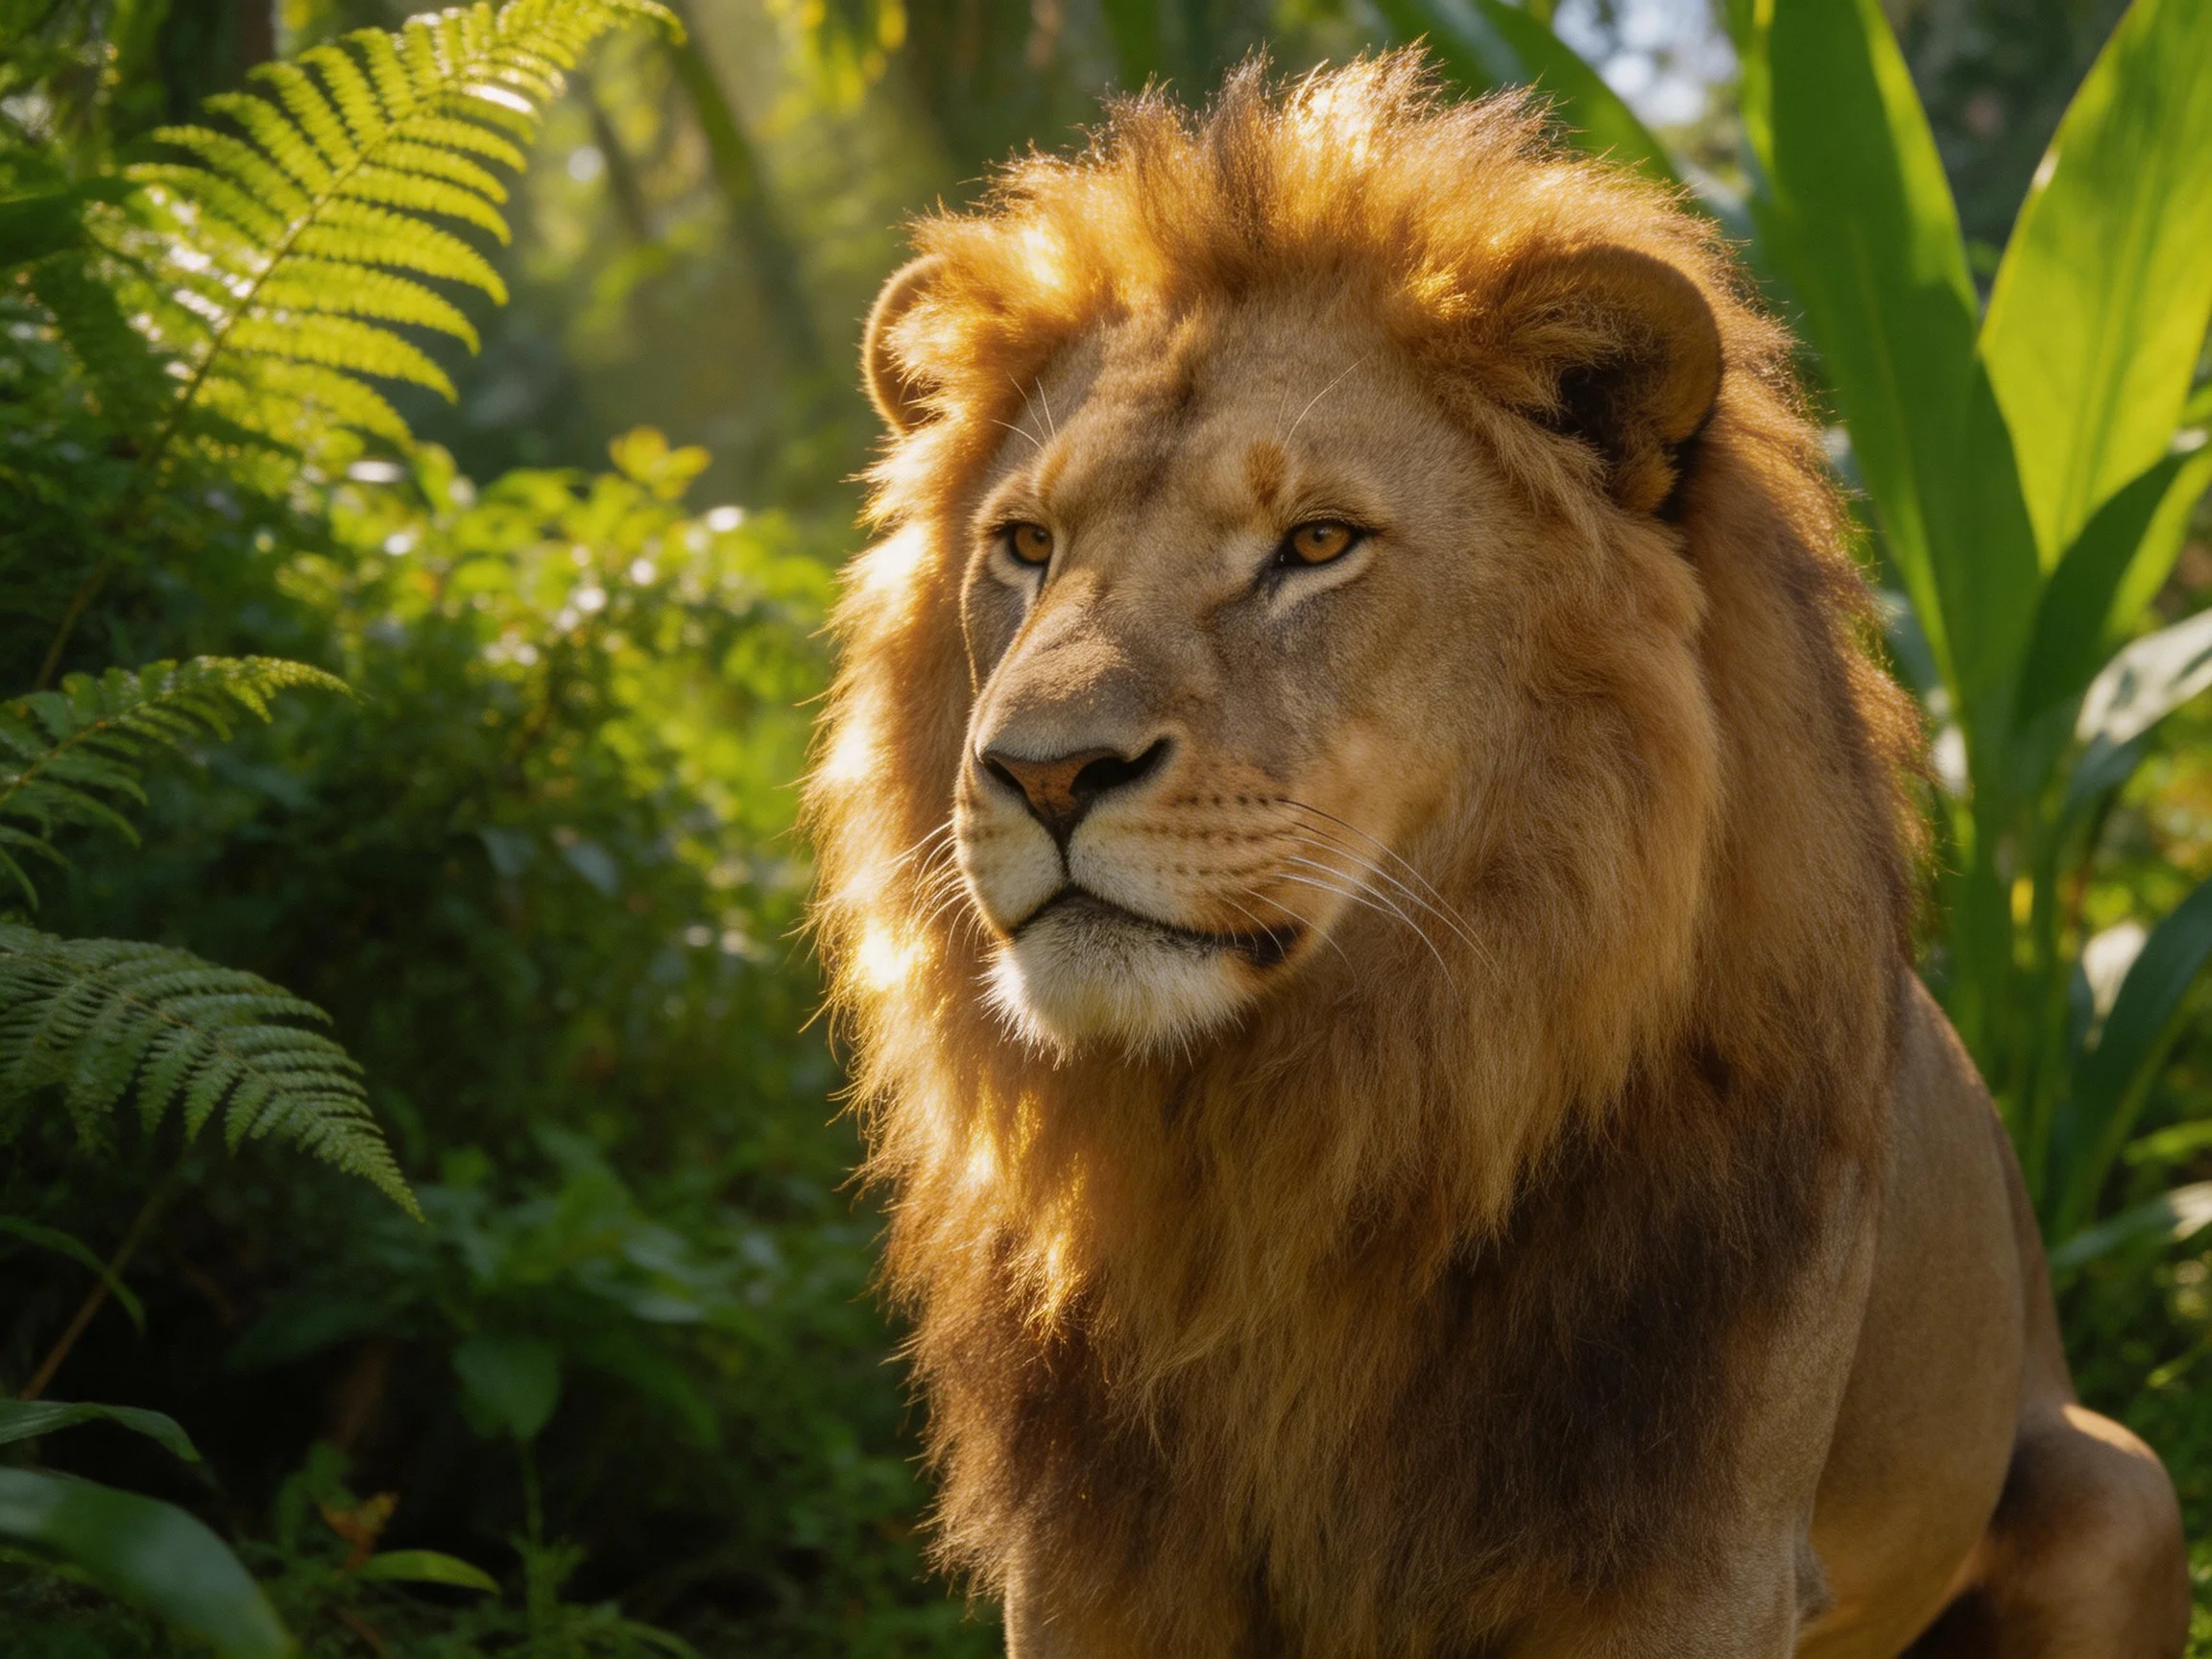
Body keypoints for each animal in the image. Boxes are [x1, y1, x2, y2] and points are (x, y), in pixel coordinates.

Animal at [804, 54, 2190, 1658]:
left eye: (1316, 543)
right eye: (1025, 546)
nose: (1040, 772)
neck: (1294, 1134)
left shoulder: (1686, 1552)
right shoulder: (1091, 1554)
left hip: (2121, 1489)